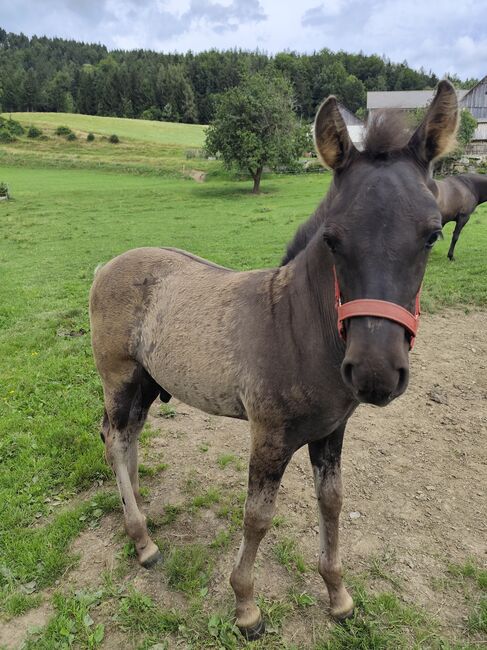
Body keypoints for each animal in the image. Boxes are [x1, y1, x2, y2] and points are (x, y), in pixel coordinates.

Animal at [91, 78, 462, 636]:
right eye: (332, 237)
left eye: (432, 234)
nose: (375, 372)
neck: (297, 329)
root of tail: (105, 265)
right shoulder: (268, 436)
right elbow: (257, 517)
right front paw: (246, 607)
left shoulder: (331, 432)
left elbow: (331, 503)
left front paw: (338, 595)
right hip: (119, 375)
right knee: (115, 437)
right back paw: (143, 541)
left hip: (149, 383)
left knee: (128, 435)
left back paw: (136, 508)